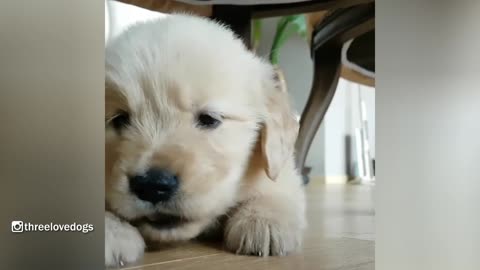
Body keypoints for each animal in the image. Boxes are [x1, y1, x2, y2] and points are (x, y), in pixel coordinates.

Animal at [106, 14, 308, 266]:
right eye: (119, 119)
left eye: (209, 119)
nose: (153, 186)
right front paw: (111, 231)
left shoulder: (280, 167)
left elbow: (276, 188)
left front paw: (264, 220)